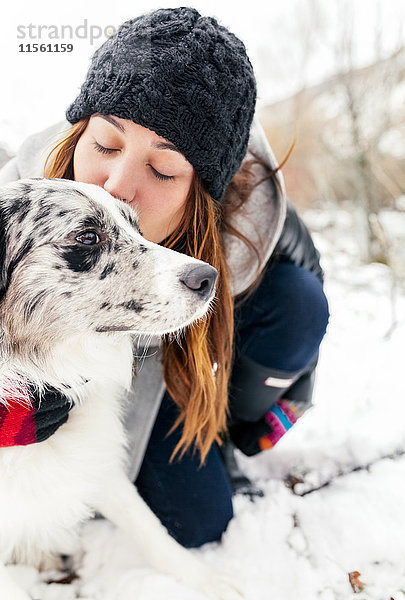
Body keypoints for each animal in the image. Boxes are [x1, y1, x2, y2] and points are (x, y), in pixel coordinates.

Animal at [0, 178, 241, 600]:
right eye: (88, 236)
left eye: (136, 226)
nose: (208, 277)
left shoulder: (94, 456)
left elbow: (150, 529)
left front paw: (207, 582)